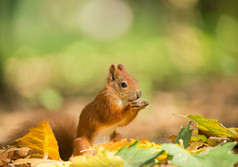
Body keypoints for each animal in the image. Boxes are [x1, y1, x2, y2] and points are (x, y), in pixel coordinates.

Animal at [4, 64, 148, 160]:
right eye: (123, 84)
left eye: (135, 80)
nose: (139, 93)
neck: (119, 98)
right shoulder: (104, 104)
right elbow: (110, 116)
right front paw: (130, 106)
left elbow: (122, 123)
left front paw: (141, 105)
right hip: (82, 142)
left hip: (116, 136)